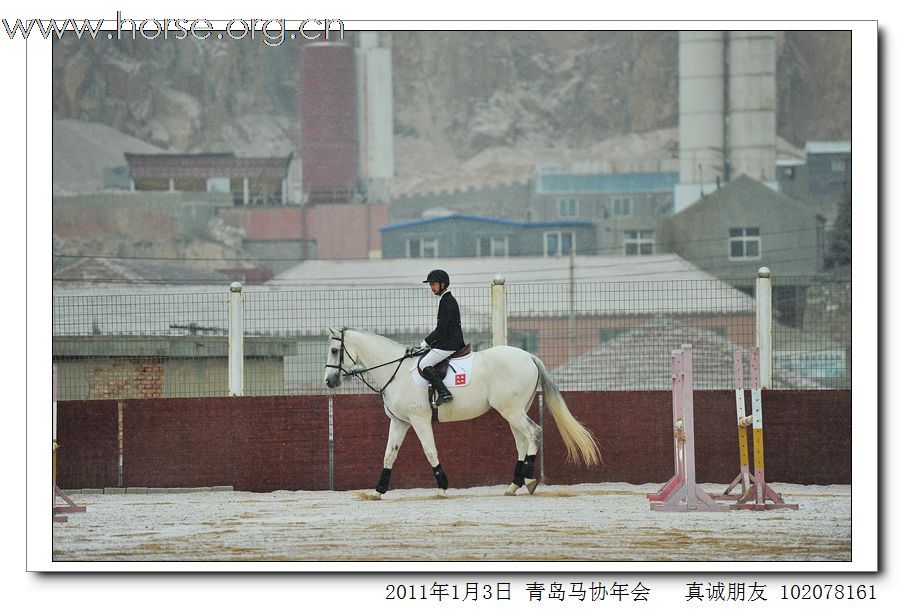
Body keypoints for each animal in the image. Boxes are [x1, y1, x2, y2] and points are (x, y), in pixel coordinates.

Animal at [324, 328, 600, 500]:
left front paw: (442, 488)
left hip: (511, 410)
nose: (328, 381)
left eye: (335, 351)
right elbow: (389, 455)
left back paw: (530, 479)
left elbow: (430, 451)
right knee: (523, 441)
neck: (396, 371)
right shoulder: (400, 422)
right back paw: (514, 485)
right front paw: (378, 491)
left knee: (534, 433)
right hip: (513, 410)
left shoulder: (419, 420)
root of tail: (529, 356)